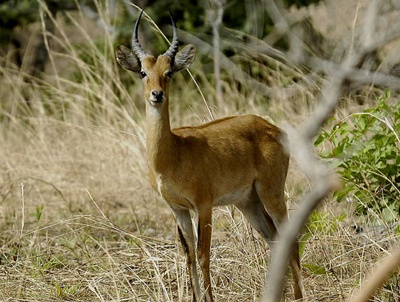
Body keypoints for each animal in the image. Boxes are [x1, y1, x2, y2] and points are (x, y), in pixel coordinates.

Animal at [115, 10, 304, 302]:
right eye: (143, 72)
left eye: (169, 72)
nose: (157, 95)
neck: (172, 154)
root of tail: (273, 128)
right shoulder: (178, 208)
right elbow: (189, 255)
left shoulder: (203, 205)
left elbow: (204, 254)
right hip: (248, 202)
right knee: (274, 240)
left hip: (271, 193)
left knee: (289, 238)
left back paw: (298, 296)